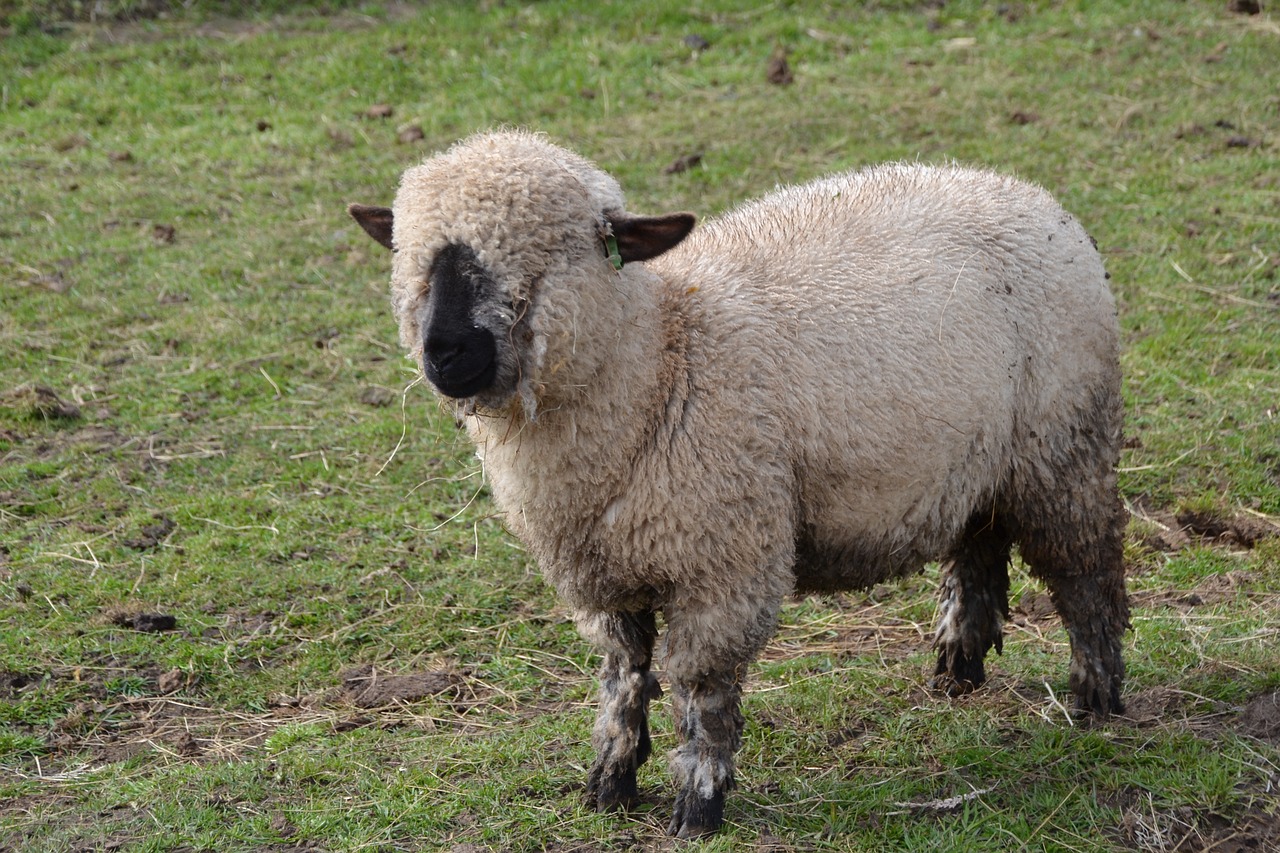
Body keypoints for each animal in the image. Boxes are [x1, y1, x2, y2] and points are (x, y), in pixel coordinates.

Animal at [345, 129, 1126, 835]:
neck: (663, 356)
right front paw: (609, 783)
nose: (444, 352)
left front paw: (698, 805)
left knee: (1088, 573)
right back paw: (958, 669)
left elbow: (702, 690)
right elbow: (623, 676)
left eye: (544, 256)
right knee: (978, 548)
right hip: (978, 462)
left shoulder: (722, 563)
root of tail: (1022, 190)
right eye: (410, 257)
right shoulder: (602, 575)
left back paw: (1096, 700)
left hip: (1064, 447)